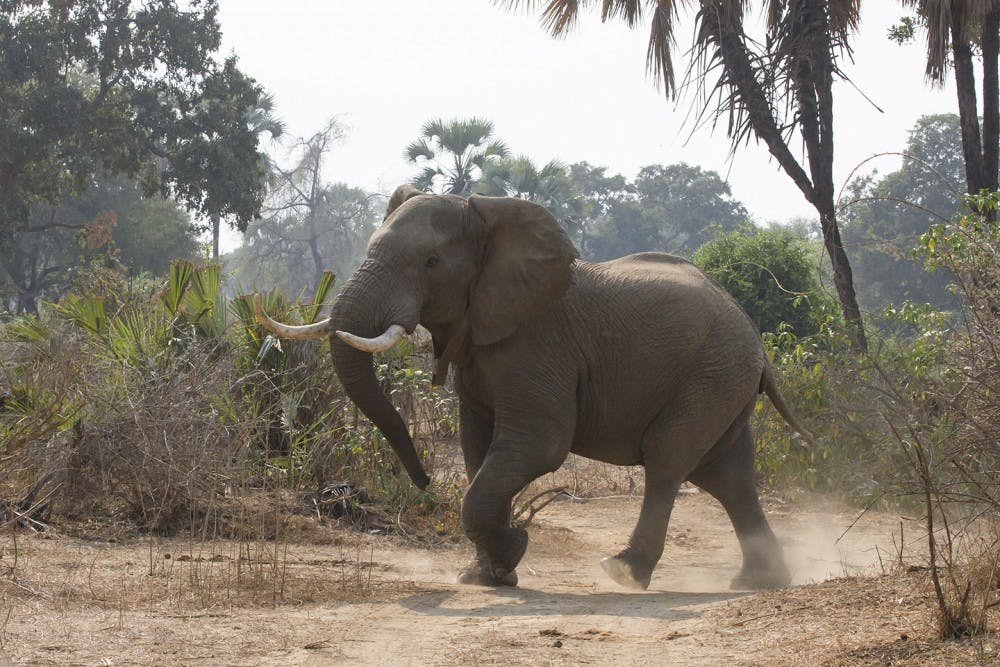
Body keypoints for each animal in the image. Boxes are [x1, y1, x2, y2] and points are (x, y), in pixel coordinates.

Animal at [254, 184, 813, 591]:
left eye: (431, 264)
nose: (424, 481)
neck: (486, 218)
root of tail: (759, 345)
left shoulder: (536, 346)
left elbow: (539, 445)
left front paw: (512, 554)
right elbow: (478, 448)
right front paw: (486, 576)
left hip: (711, 374)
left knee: (670, 459)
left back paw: (624, 572)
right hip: (723, 379)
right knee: (727, 474)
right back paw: (759, 582)